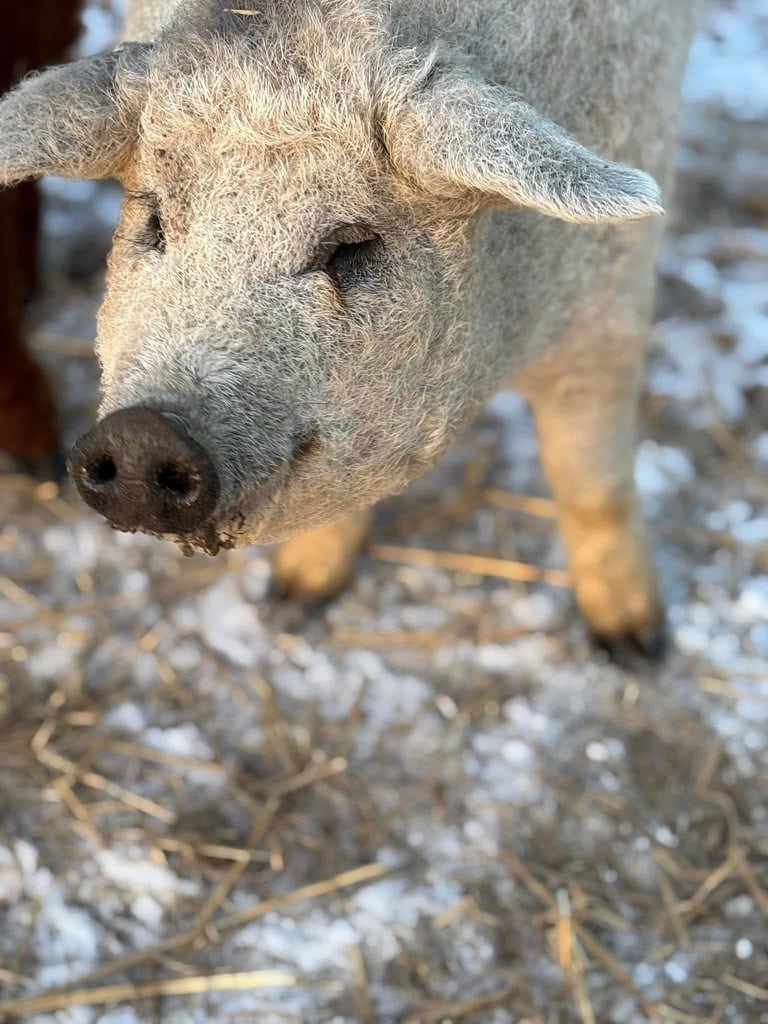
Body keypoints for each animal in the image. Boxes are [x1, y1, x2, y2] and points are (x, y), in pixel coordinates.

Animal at [0, 0, 704, 654]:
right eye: (155, 222)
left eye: (350, 247)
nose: (143, 436)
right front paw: (291, 601)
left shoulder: (610, 304)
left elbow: (591, 482)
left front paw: (637, 646)